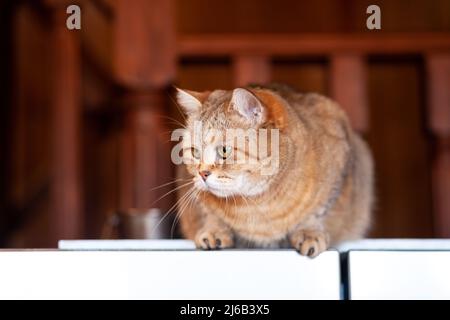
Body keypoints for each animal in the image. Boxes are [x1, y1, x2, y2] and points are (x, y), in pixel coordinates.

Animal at [172, 83, 372, 258]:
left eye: (224, 150)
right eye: (195, 152)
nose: (202, 174)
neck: (259, 202)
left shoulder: (340, 165)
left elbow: (316, 212)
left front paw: (309, 232)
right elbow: (210, 214)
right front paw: (214, 230)